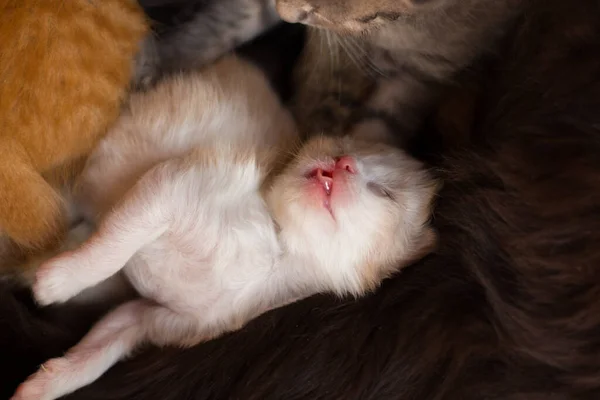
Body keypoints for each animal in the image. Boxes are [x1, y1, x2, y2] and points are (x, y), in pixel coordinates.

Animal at [11, 55, 438, 400]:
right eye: (339, 144)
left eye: (385, 192)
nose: (343, 161)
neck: (275, 242)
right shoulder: (173, 186)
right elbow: (114, 246)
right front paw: (62, 279)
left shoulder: (156, 318)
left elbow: (102, 347)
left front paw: (45, 382)